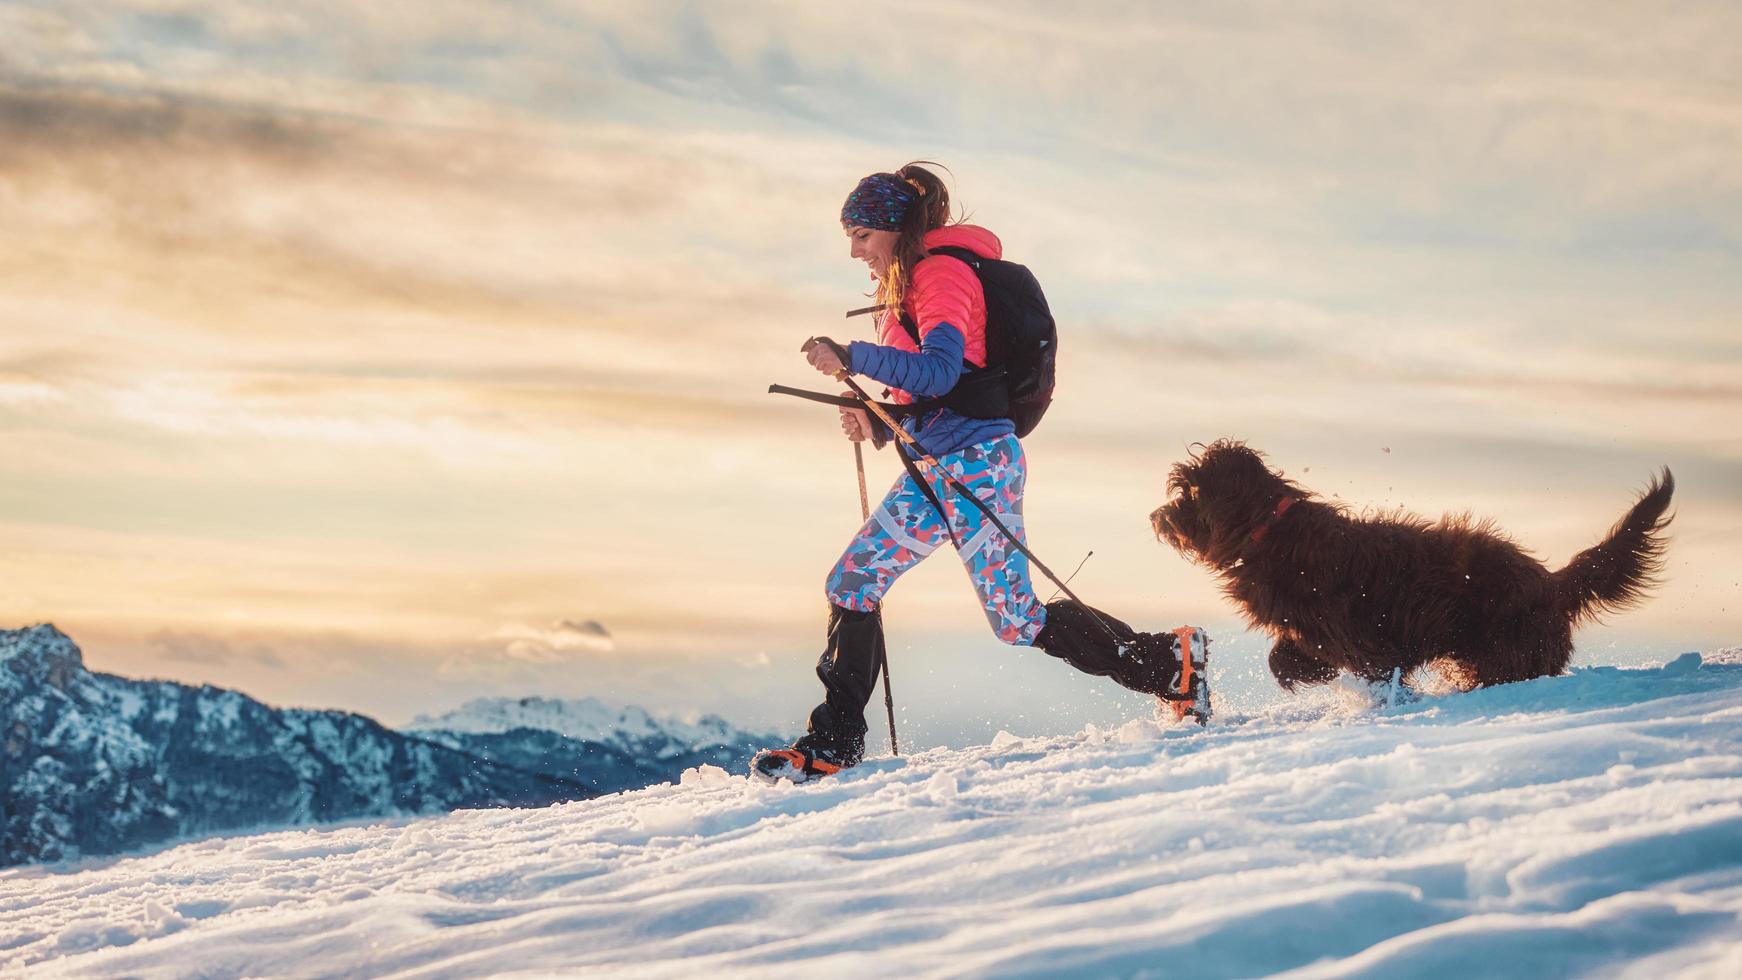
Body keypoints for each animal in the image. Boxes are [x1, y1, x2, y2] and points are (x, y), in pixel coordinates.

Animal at [1142, 440, 1672, 692]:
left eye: (1188, 492)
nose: (1155, 516)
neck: (1270, 533)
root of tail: (1552, 583)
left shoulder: (1362, 635)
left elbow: (1369, 666)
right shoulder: (1311, 628)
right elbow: (1284, 656)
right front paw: (1306, 674)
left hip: (1508, 649)